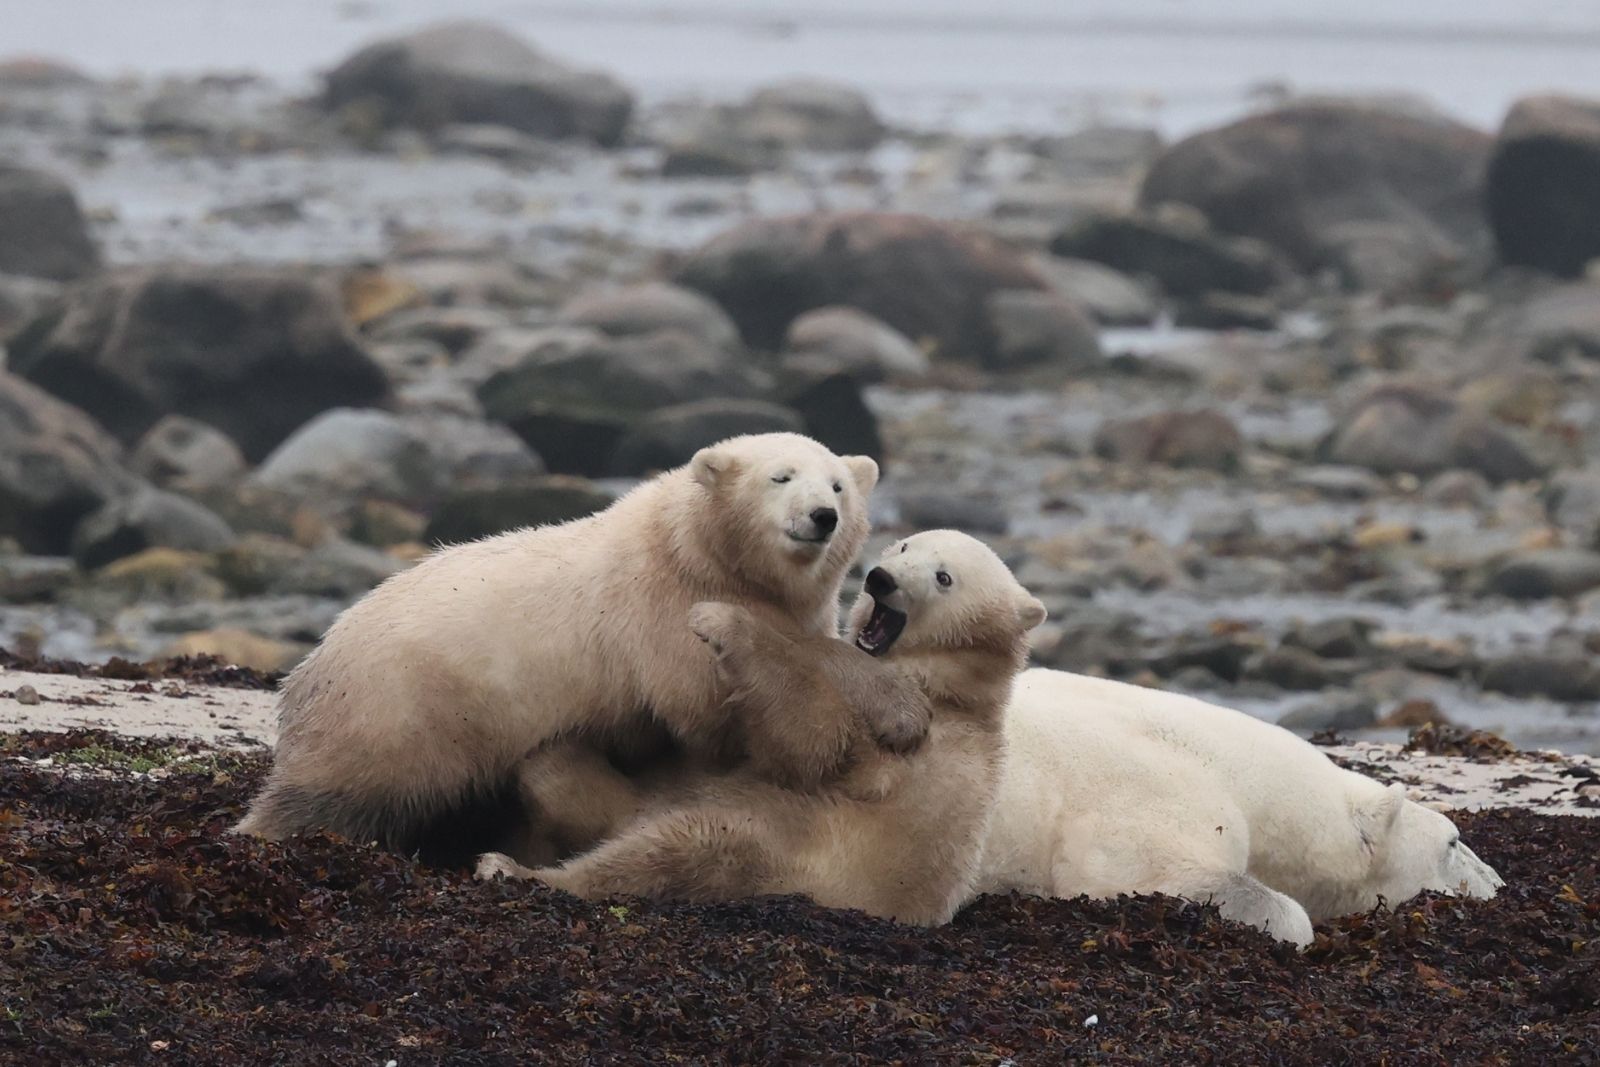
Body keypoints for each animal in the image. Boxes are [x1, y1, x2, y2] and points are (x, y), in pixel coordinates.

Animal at [235, 432, 883, 863]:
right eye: (780, 477)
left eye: (837, 485)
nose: (822, 516)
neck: (692, 552)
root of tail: (309, 668)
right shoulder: (665, 621)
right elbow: (706, 717)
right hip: (395, 712)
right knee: (332, 791)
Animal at [476, 530, 1048, 926]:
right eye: (907, 544)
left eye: (945, 577)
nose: (881, 578)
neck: (953, 690)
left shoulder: (911, 758)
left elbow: (814, 743)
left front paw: (720, 621)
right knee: (576, 784)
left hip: (778, 855)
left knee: (679, 849)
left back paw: (511, 867)